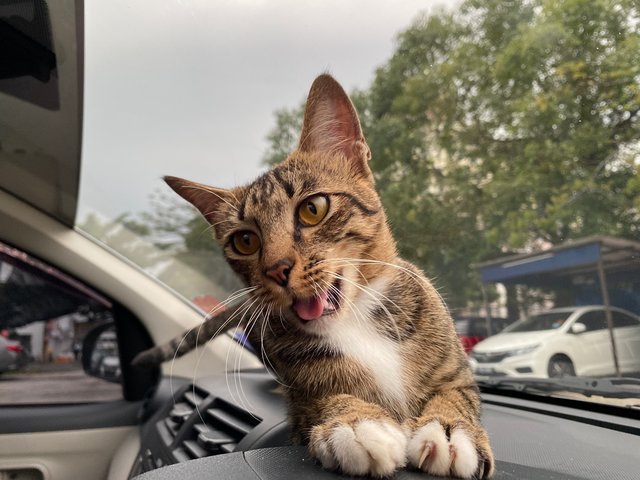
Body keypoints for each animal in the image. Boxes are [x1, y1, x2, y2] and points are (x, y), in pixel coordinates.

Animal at [134, 73, 496, 478]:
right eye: (245, 240)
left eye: (313, 209)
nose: (276, 269)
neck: (357, 323)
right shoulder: (302, 401)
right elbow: (326, 399)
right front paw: (358, 423)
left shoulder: (457, 372)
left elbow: (456, 394)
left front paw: (448, 430)